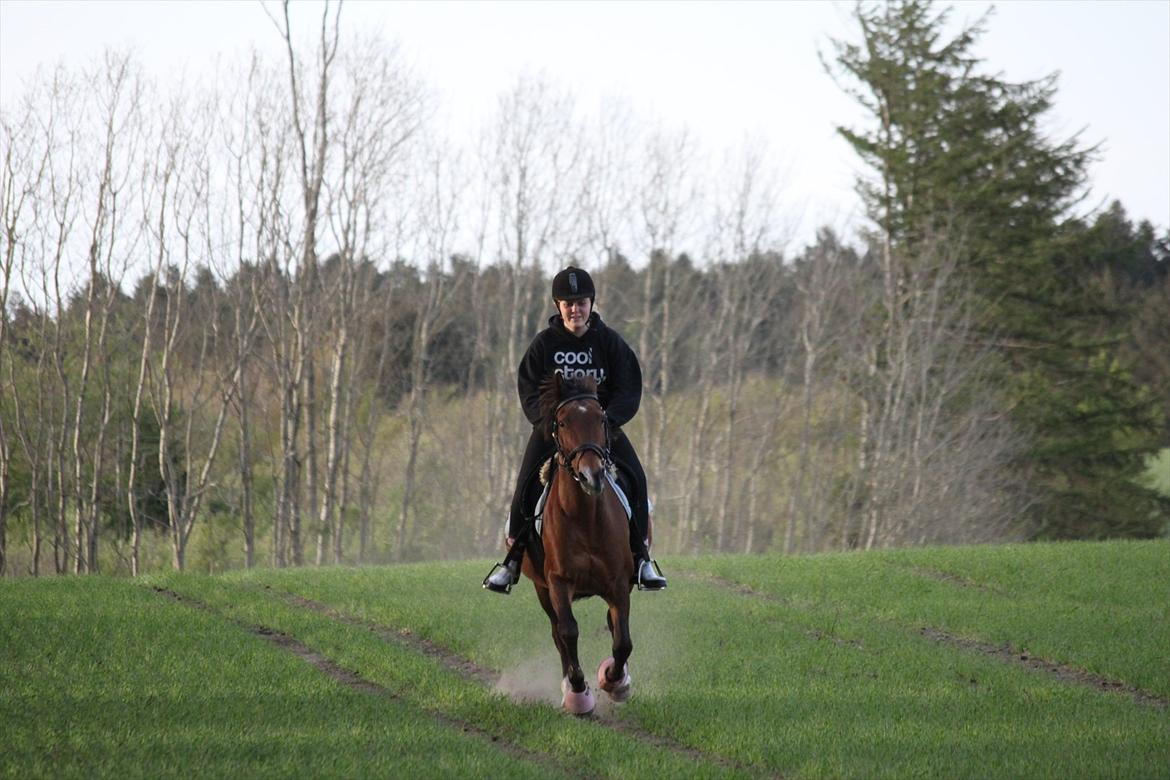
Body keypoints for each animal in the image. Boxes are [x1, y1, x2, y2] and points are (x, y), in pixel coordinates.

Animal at [521, 371, 631, 715]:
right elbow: (568, 631)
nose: (591, 475)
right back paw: (570, 686)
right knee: (558, 632)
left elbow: (622, 641)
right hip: (541, 589)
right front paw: (579, 690)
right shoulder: (558, 582)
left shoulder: (618, 584)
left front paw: (614, 681)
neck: (585, 519)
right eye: (563, 421)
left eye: (601, 418)